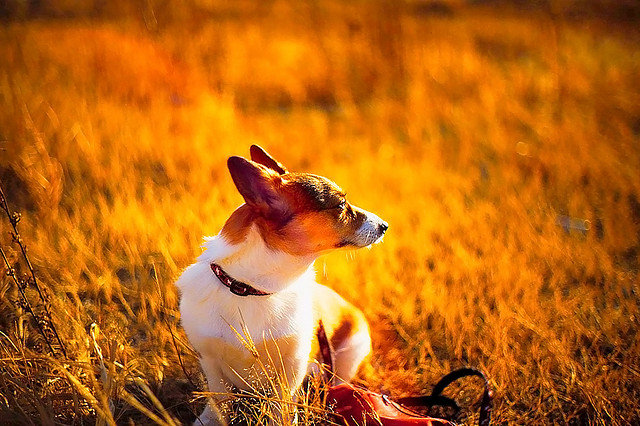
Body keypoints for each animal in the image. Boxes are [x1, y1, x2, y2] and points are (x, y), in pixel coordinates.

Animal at [175, 146, 388, 422]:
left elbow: (281, 405)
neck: (250, 289)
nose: (385, 225)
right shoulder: (210, 361)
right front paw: (208, 420)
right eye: (341, 205)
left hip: (350, 354)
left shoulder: (293, 364)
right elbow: (220, 401)